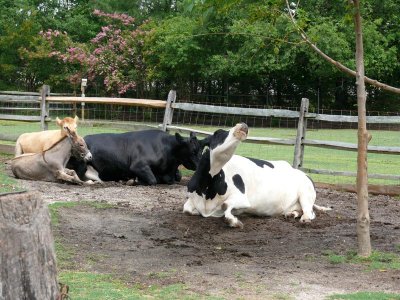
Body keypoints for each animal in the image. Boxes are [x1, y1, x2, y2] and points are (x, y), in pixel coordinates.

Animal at [70, 129, 205, 185]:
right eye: (193, 151)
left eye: (201, 149)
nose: (200, 166)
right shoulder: (138, 166)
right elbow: (153, 180)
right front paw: (133, 180)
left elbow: (177, 177)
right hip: (82, 164)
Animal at [184, 123, 332, 229]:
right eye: (217, 133)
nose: (242, 124)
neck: (207, 191)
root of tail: (300, 172)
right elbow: (186, 210)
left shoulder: (242, 198)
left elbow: (226, 206)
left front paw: (235, 222)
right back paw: (291, 214)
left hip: (306, 193)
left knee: (310, 212)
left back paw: (304, 219)